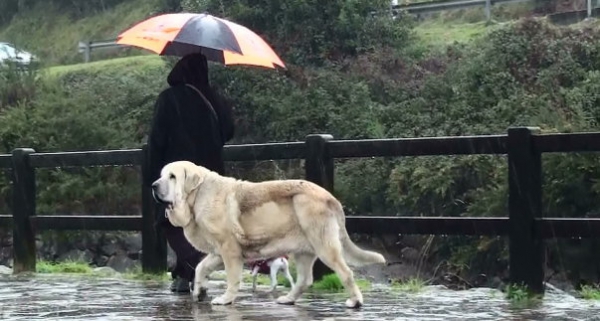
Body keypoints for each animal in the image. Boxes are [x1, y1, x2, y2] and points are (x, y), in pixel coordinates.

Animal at [150, 160, 384, 308]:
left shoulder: (229, 250)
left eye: (172, 177)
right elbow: (200, 268)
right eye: (161, 175)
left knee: (346, 273)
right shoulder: (218, 252)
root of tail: (330, 197)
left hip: (325, 246)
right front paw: (199, 291)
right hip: (303, 251)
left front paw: (226, 299)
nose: (153, 185)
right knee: (305, 279)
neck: (197, 196)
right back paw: (288, 299)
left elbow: (232, 278)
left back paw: (355, 302)